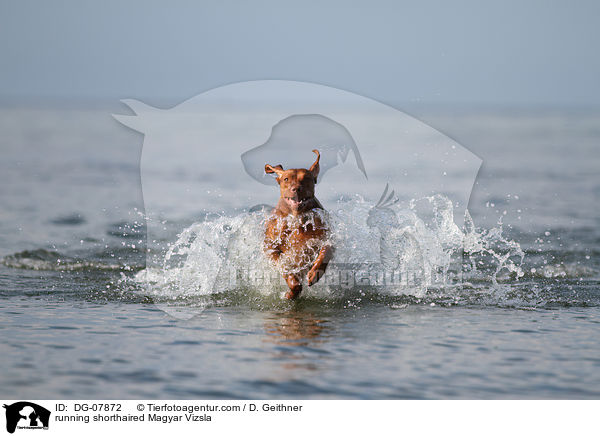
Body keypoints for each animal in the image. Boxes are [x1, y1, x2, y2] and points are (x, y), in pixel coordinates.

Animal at [264, 150, 336, 300]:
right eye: (286, 179)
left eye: (307, 178)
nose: (296, 188)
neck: (296, 219)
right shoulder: (270, 248)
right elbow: (284, 267)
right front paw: (292, 289)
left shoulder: (327, 238)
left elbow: (326, 251)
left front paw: (315, 273)